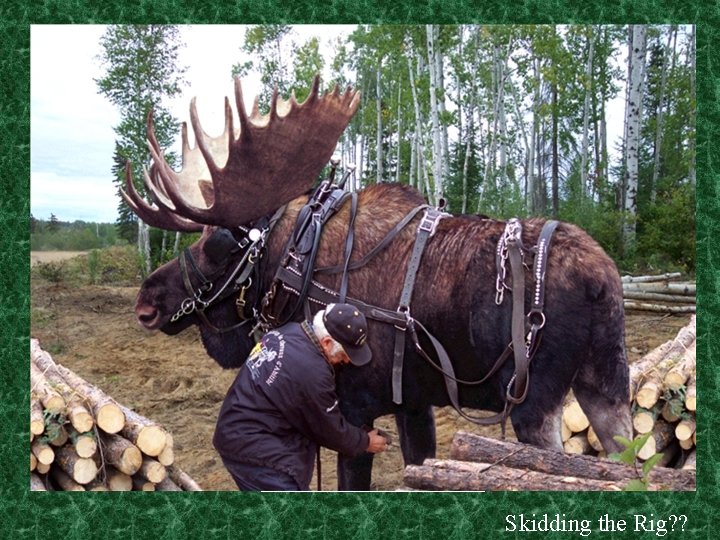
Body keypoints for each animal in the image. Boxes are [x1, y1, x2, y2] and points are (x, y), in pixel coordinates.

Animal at [126, 78, 632, 492]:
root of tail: (602, 279)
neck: (296, 266)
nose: (146, 303)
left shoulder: (355, 406)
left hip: (534, 401)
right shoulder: (413, 404)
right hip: (604, 380)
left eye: (219, 244)